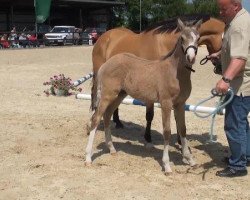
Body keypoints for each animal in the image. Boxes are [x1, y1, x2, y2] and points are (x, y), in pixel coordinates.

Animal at [86, 19, 201, 174]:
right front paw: (167, 165)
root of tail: (105, 64)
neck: (174, 72)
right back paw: (88, 158)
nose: (191, 57)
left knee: (107, 116)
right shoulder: (166, 103)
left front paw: (190, 160)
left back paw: (112, 148)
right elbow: (167, 131)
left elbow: (183, 129)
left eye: (198, 38)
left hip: (119, 95)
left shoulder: (180, 104)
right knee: (96, 118)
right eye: (182, 38)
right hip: (107, 95)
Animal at [91, 14, 225, 145]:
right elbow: (150, 114)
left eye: (198, 38)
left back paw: (117, 121)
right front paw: (147, 136)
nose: (220, 68)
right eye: (225, 39)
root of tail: (104, 36)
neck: (163, 43)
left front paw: (180, 141)